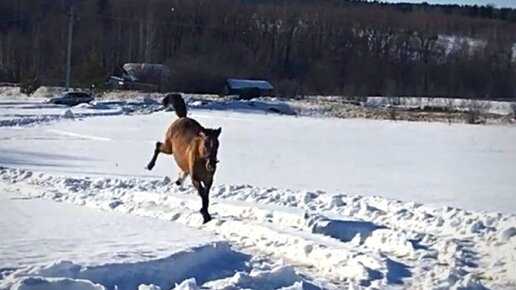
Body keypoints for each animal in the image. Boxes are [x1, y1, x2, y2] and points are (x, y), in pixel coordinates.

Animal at [148, 94, 223, 223]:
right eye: (205, 143)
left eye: (217, 144)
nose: (211, 164)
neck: (202, 161)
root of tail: (182, 118)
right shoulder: (196, 179)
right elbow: (203, 194)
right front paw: (205, 215)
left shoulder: (209, 180)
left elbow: (206, 195)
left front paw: (205, 213)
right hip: (168, 148)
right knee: (158, 145)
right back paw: (150, 166)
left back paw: (179, 180)